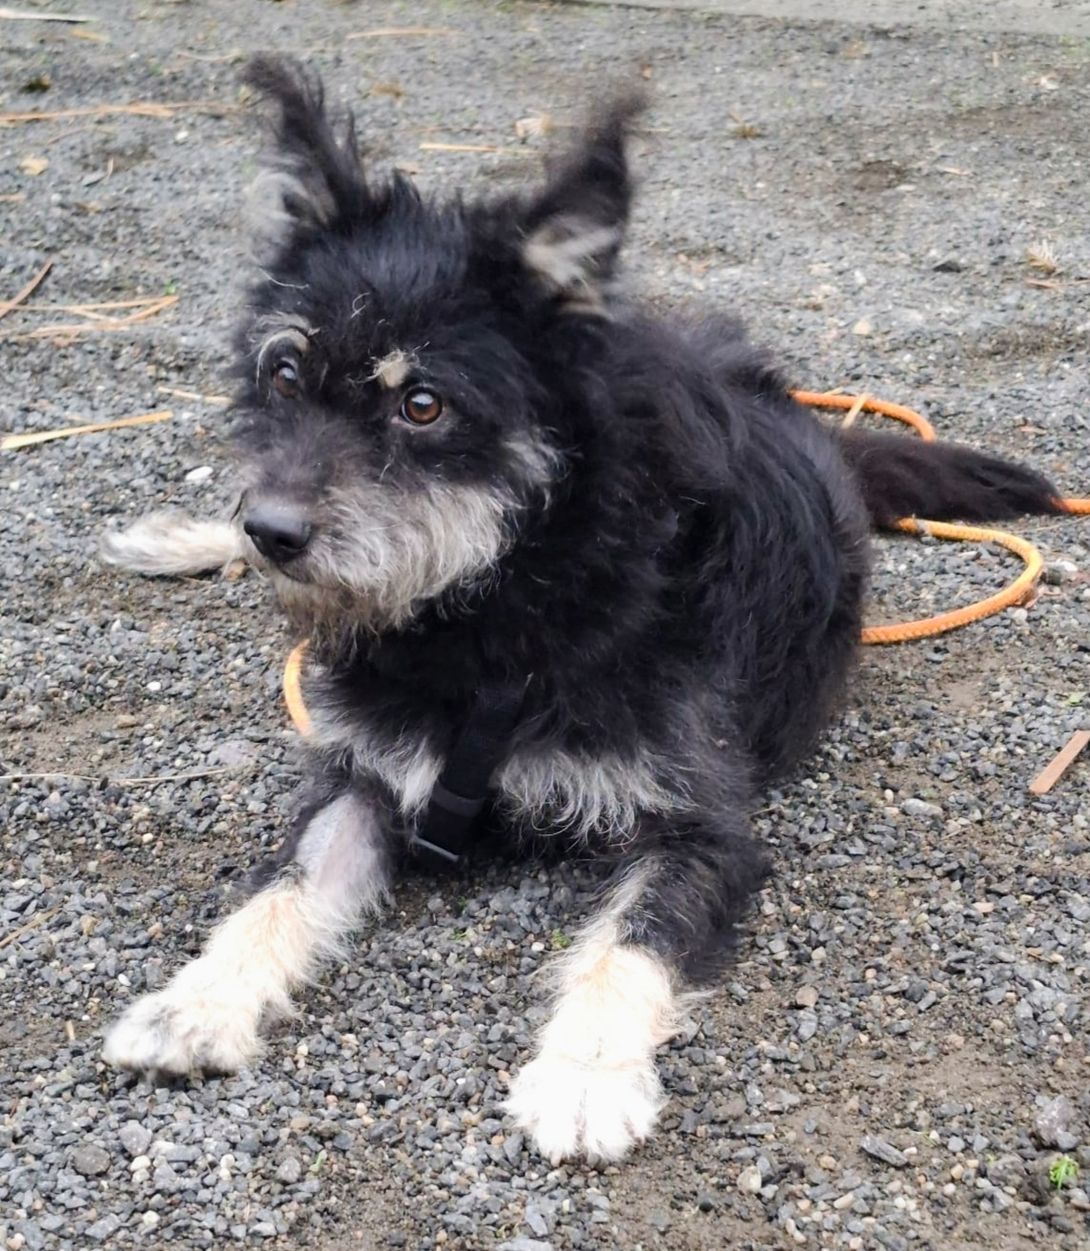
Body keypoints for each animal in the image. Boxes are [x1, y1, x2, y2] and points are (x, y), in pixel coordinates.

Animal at [98, 56, 1063, 1163]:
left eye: (422, 404)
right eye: (286, 372)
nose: (272, 531)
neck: (504, 602)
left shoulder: (702, 826)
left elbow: (626, 942)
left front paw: (586, 1074)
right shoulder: (364, 771)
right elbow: (280, 888)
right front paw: (195, 1000)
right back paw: (179, 540)